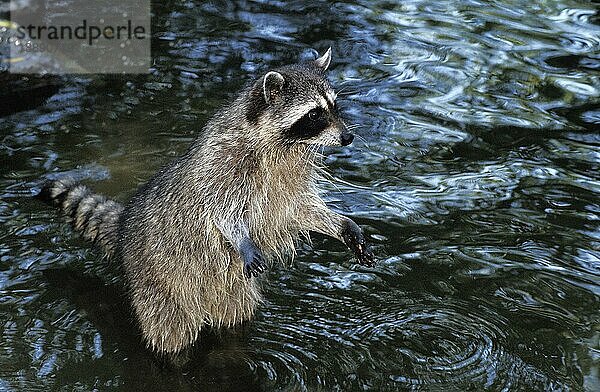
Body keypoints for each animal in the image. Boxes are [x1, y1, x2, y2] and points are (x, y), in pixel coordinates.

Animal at [39, 47, 372, 354]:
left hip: (232, 293)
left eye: (334, 105)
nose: (347, 138)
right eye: (314, 114)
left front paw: (341, 225)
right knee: (171, 337)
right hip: (156, 288)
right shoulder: (224, 166)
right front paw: (241, 239)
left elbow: (300, 210)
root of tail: (124, 227)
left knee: (235, 321)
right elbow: (220, 210)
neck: (287, 145)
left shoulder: (289, 182)